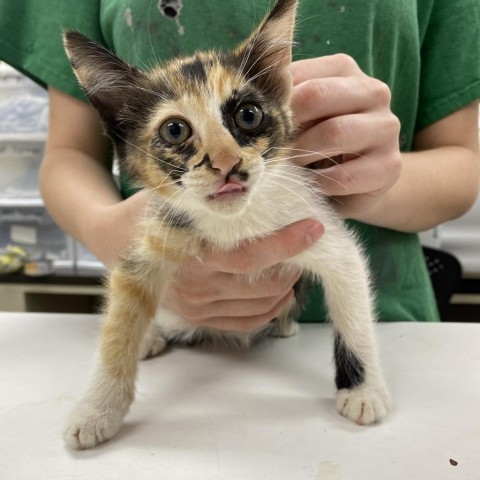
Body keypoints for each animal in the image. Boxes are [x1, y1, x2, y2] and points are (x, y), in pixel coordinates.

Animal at [62, 0, 390, 450]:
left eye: (248, 115)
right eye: (175, 129)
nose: (226, 163)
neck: (235, 221)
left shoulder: (321, 230)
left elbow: (354, 313)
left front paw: (364, 391)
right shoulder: (154, 241)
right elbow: (118, 327)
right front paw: (96, 410)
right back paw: (151, 337)